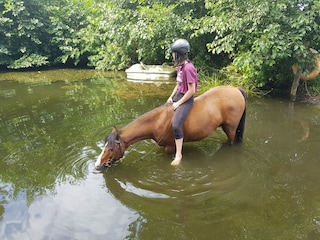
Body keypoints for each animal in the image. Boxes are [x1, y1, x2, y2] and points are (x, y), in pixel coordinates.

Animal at [94, 85, 245, 170]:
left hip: (231, 129)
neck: (157, 121)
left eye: (111, 148)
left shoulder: (170, 147)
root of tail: (236, 90)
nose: (97, 165)